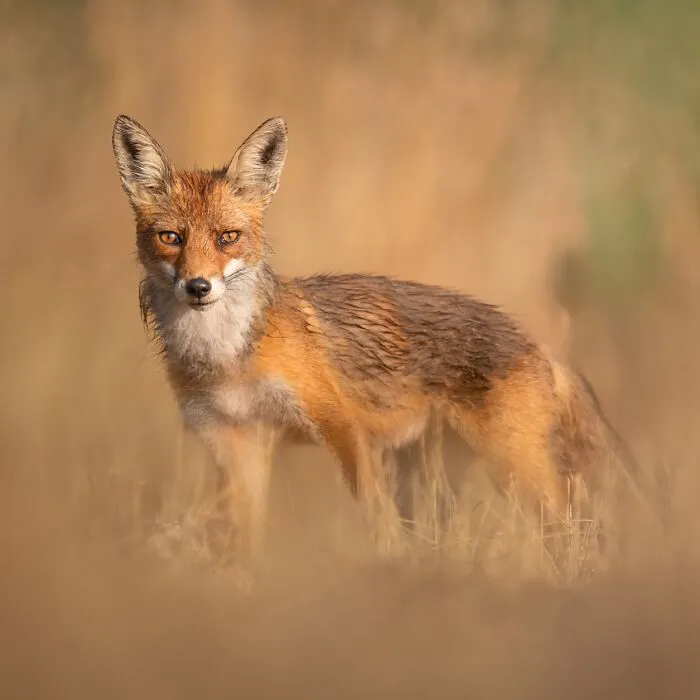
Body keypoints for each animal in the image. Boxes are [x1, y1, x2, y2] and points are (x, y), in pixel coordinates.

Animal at [112, 114, 646, 568]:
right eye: (171, 238)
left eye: (227, 237)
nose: (198, 287)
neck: (226, 359)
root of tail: (543, 349)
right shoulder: (237, 442)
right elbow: (243, 542)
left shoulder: (342, 428)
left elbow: (376, 523)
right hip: (432, 483)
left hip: (519, 473)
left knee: (574, 536)